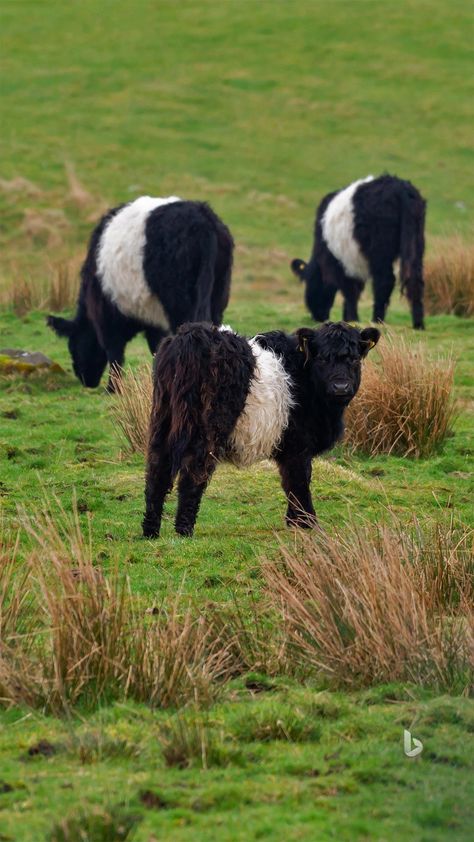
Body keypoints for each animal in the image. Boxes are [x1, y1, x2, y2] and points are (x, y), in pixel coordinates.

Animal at [45, 198, 234, 390]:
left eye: (73, 345)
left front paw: (113, 388)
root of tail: (203, 220)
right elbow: (155, 347)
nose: (86, 380)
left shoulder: (108, 316)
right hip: (217, 294)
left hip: (179, 302)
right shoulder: (154, 318)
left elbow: (115, 352)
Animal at [142, 318, 382, 536]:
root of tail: (193, 335)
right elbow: (299, 480)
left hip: (163, 419)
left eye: (354, 359)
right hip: (206, 427)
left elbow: (290, 482)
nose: (341, 387)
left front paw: (294, 522)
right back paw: (184, 530)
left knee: (157, 469)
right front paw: (308, 523)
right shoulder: (298, 445)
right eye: (322, 358)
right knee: (194, 470)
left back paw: (150, 530)